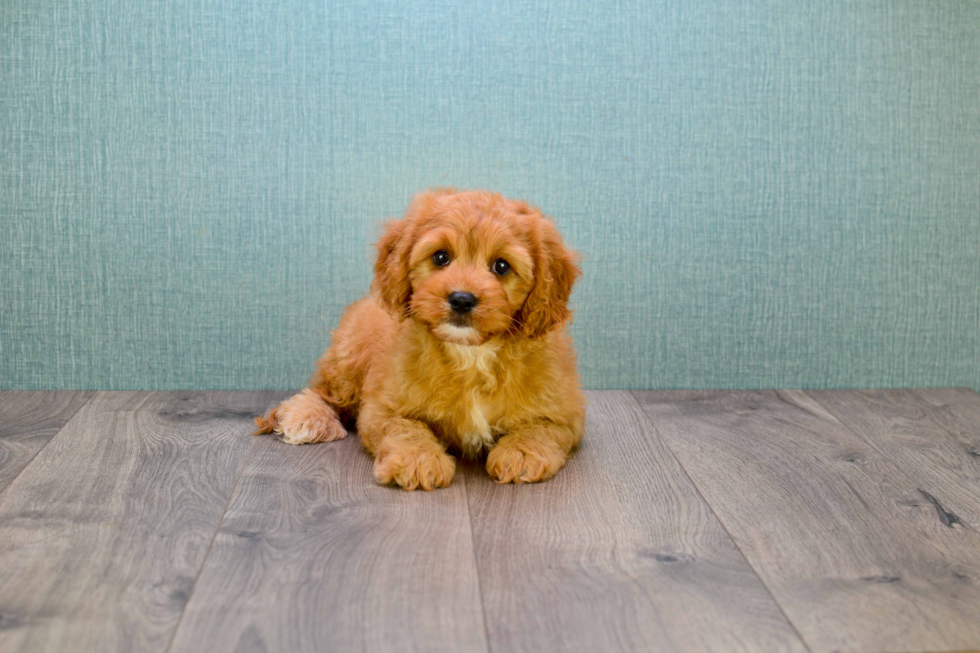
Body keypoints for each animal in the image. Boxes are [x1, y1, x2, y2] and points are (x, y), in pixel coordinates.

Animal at [256, 188, 584, 488]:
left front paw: (521, 453)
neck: (471, 354)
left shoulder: (563, 412)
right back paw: (306, 418)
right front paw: (418, 460)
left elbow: (541, 428)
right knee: (322, 391)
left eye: (501, 266)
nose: (462, 299)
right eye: (441, 257)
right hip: (347, 363)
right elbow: (406, 429)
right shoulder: (383, 408)